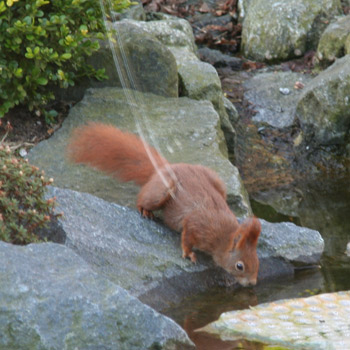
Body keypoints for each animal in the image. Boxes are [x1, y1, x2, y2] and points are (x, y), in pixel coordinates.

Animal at [67, 121, 262, 286]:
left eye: (257, 260)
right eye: (240, 266)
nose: (252, 283)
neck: (224, 236)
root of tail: (164, 168)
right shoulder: (198, 224)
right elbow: (187, 236)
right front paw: (188, 253)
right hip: (162, 191)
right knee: (143, 198)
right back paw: (145, 210)